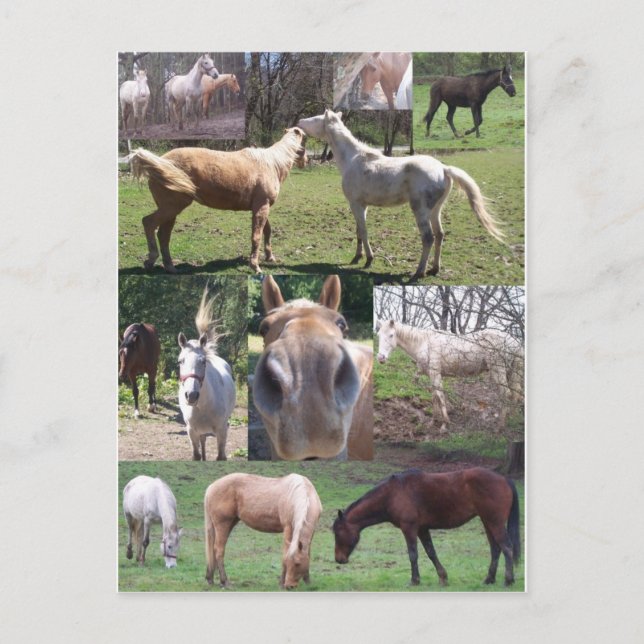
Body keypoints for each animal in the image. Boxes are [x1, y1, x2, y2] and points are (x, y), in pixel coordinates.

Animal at [128, 128, 307, 274]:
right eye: (305, 140)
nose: (306, 162)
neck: (271, 163)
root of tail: (161, 161)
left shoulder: (261, 206)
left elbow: (267, 231)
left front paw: (270, 257)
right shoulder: (262, 207)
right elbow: (256, 236)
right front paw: (255, 266)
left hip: (171, 210)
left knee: (164, 235)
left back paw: (170, 267)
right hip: (171, 207)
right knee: (149, 223)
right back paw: (151, 260)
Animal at [177, 286, 236, 461]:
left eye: (203, 362)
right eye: (180, 361)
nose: (191, 395)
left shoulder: (222, 431)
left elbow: (221, 456)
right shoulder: (191, 431)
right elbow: (196, 456)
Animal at [296, 110, 504, 280]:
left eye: (316, 119)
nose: (299, 122)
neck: (353, 159)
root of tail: (443, 169)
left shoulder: (356, 204)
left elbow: (363, 231)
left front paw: (369, 259)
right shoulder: (361, 205)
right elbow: (358, 231)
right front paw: (357, 257)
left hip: (420, 210)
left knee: (428, 238)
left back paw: (419, 271)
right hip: (435, 210)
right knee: (439, 235)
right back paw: (434, 269)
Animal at [333, 467, 521, 587]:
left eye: (338, 532)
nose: (339, 559)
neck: (392, 494)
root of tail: (504, 479)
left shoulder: (409, 528)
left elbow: (413, 555)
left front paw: (414, 581)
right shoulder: (422, 529)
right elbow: (431, 552)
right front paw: (443, 578)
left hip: (495, 522)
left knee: (507, 547)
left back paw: (508, 580)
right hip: (487, 522)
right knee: (496, 549)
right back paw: (489, 579)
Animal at [376, 319, 524, 430]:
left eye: (391, 335)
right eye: (378, 335)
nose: (381, 358)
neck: (425, 342)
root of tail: (514, 341)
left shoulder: (436, 374)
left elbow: (440, 396)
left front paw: (444, 424)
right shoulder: (431, 375)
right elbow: (434, 397)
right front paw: (434, 421)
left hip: (498, 371)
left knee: (506, 394)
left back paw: (500, 426)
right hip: (509, 372)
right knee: (514, 394)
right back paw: (511, 418)